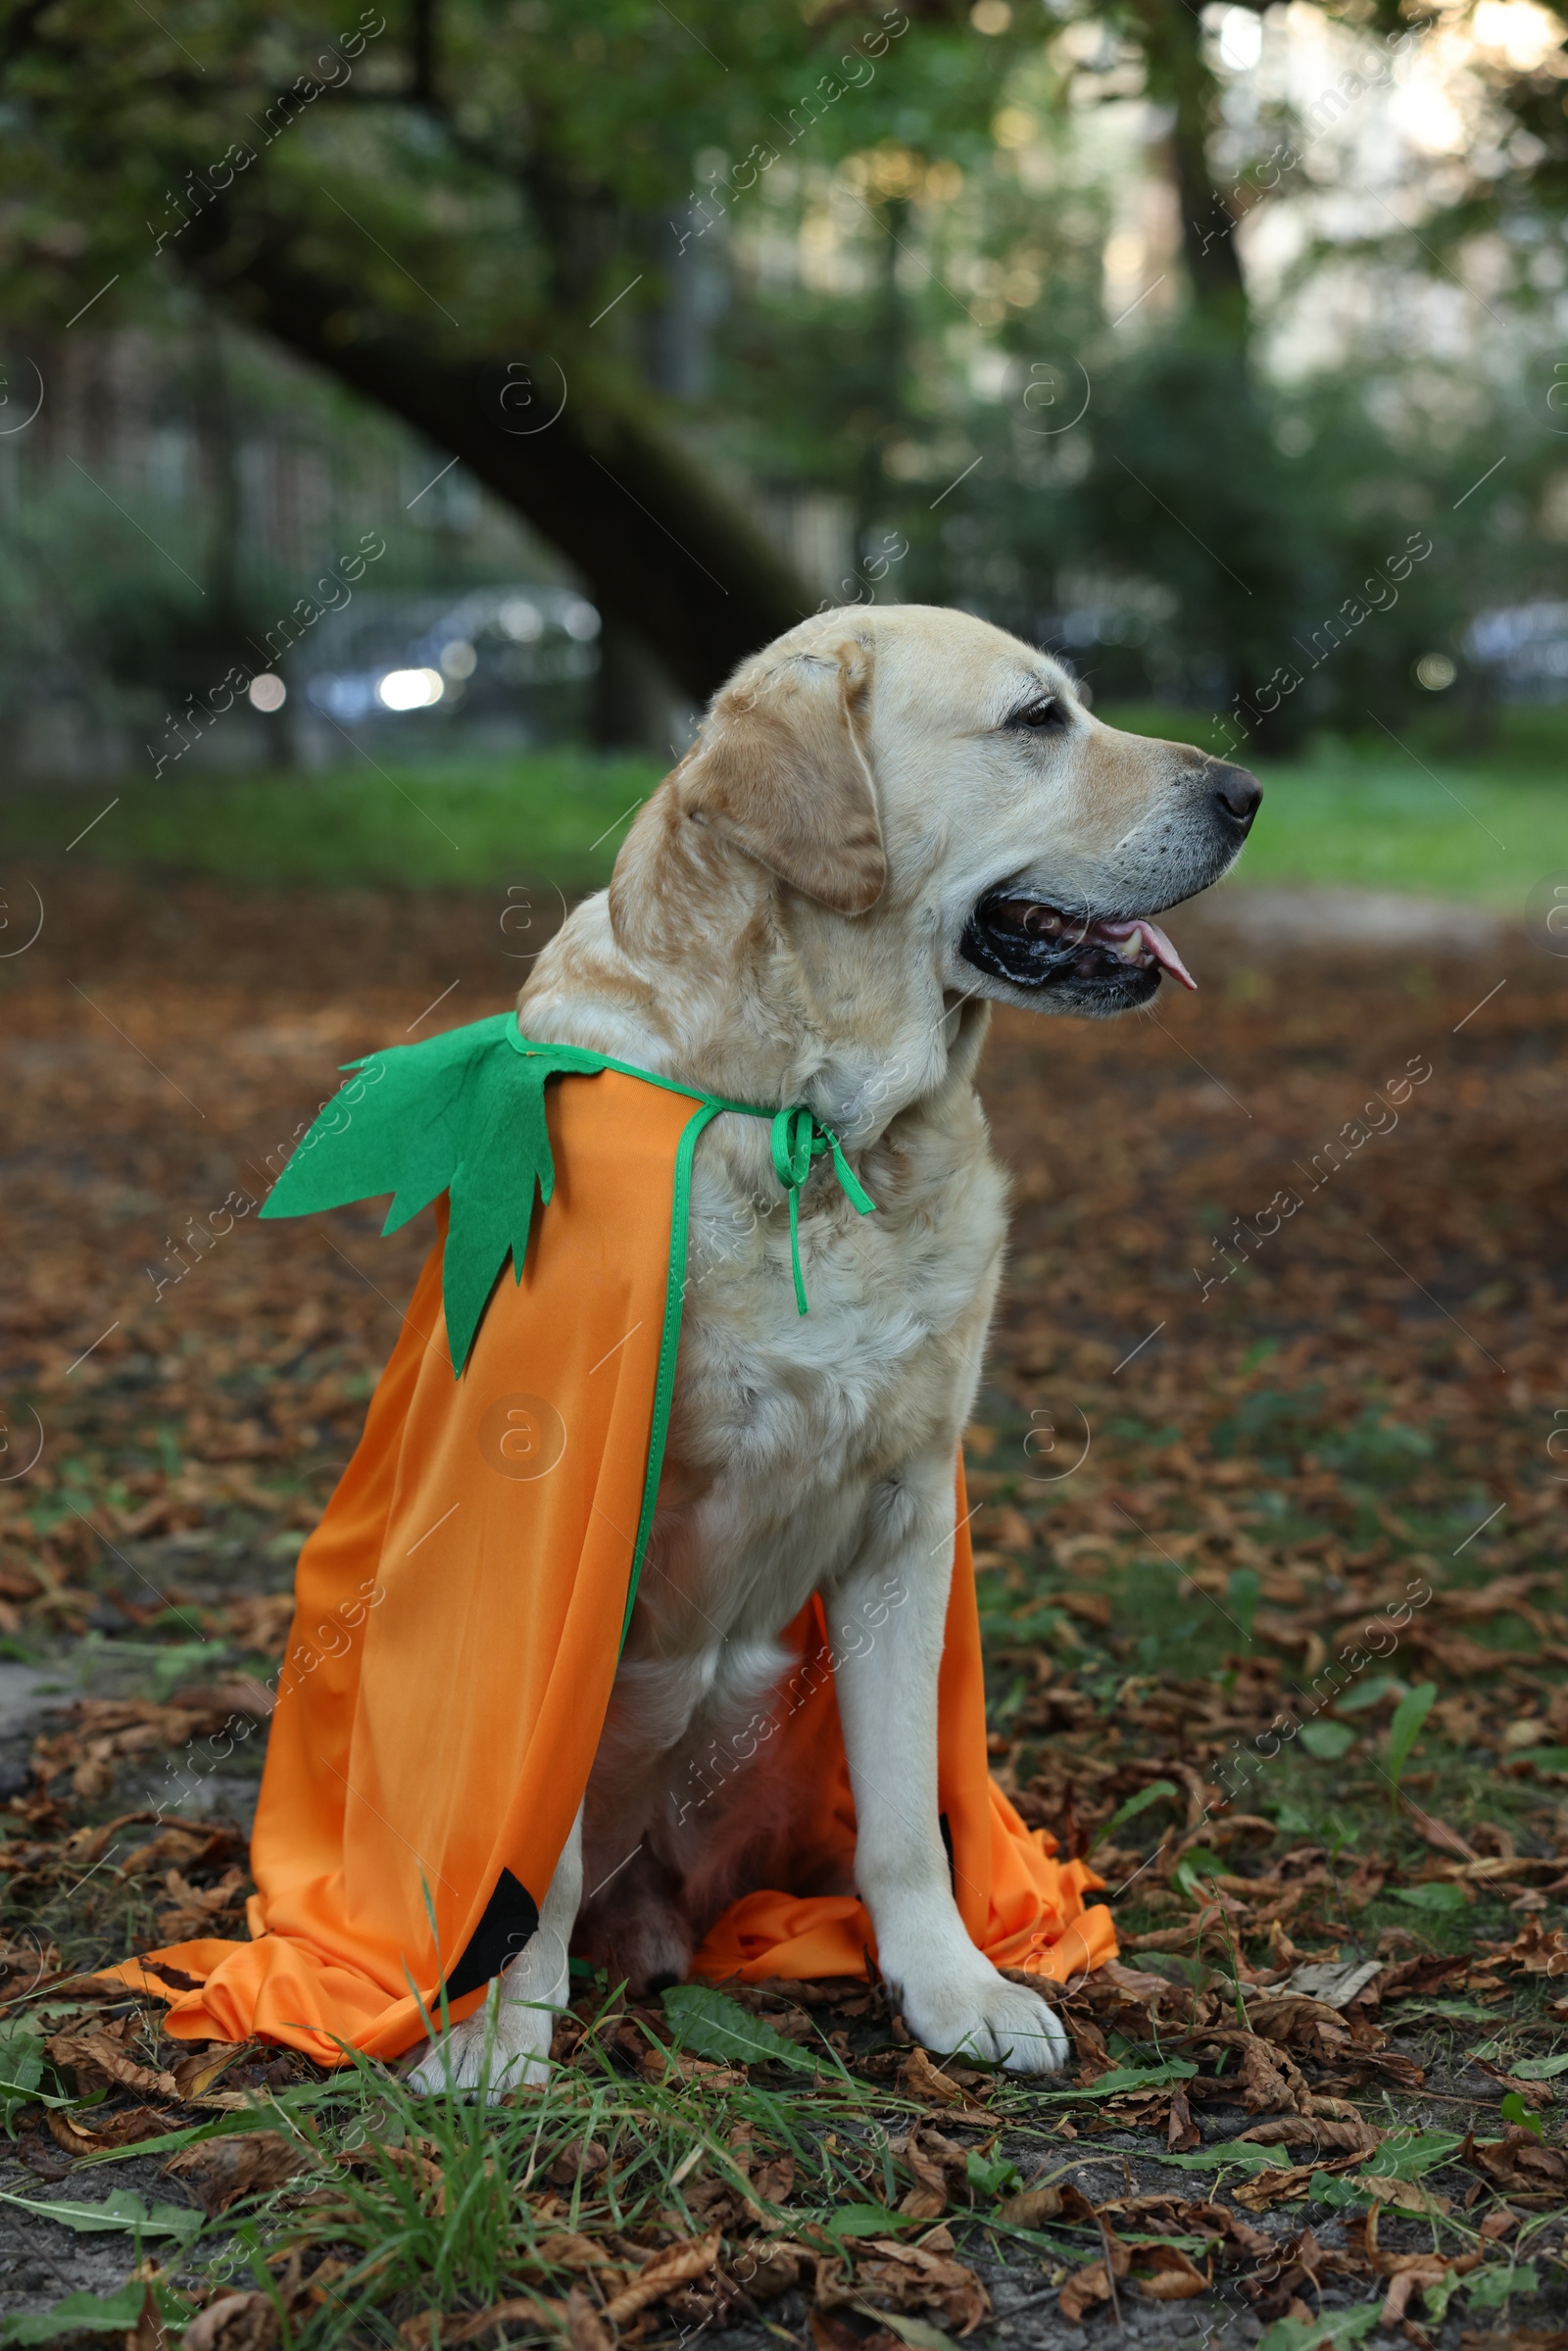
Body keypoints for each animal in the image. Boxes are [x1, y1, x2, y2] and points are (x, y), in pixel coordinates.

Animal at [409, 592, 1259, 2096]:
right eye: (1037, 719)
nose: (1247, 793)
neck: (813, 1120)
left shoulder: (907, 1513)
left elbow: (911, 1814)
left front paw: (953, 1986)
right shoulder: (573, 1514)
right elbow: (534, 1834)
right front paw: (499, 2025)